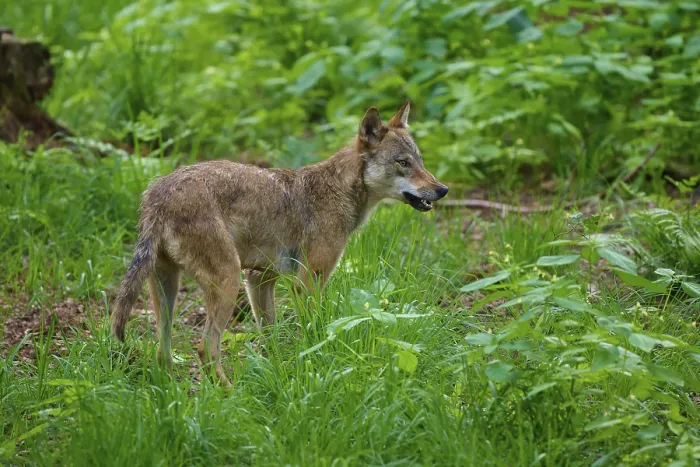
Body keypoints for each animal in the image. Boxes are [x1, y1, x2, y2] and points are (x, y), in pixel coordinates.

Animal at [110, 101, 448, 385]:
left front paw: (278, 372)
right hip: (225, 282)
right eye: (403, 163)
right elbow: (314, 332)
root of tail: (159, 193)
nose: (443, 189)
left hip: (169, 288)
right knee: (206, 349)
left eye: (419, 161)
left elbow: (270, 337)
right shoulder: (307, 281)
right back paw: (230, 395)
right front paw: (315, 366)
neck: (336, 191)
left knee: (162, 352)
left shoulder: (259, 279)